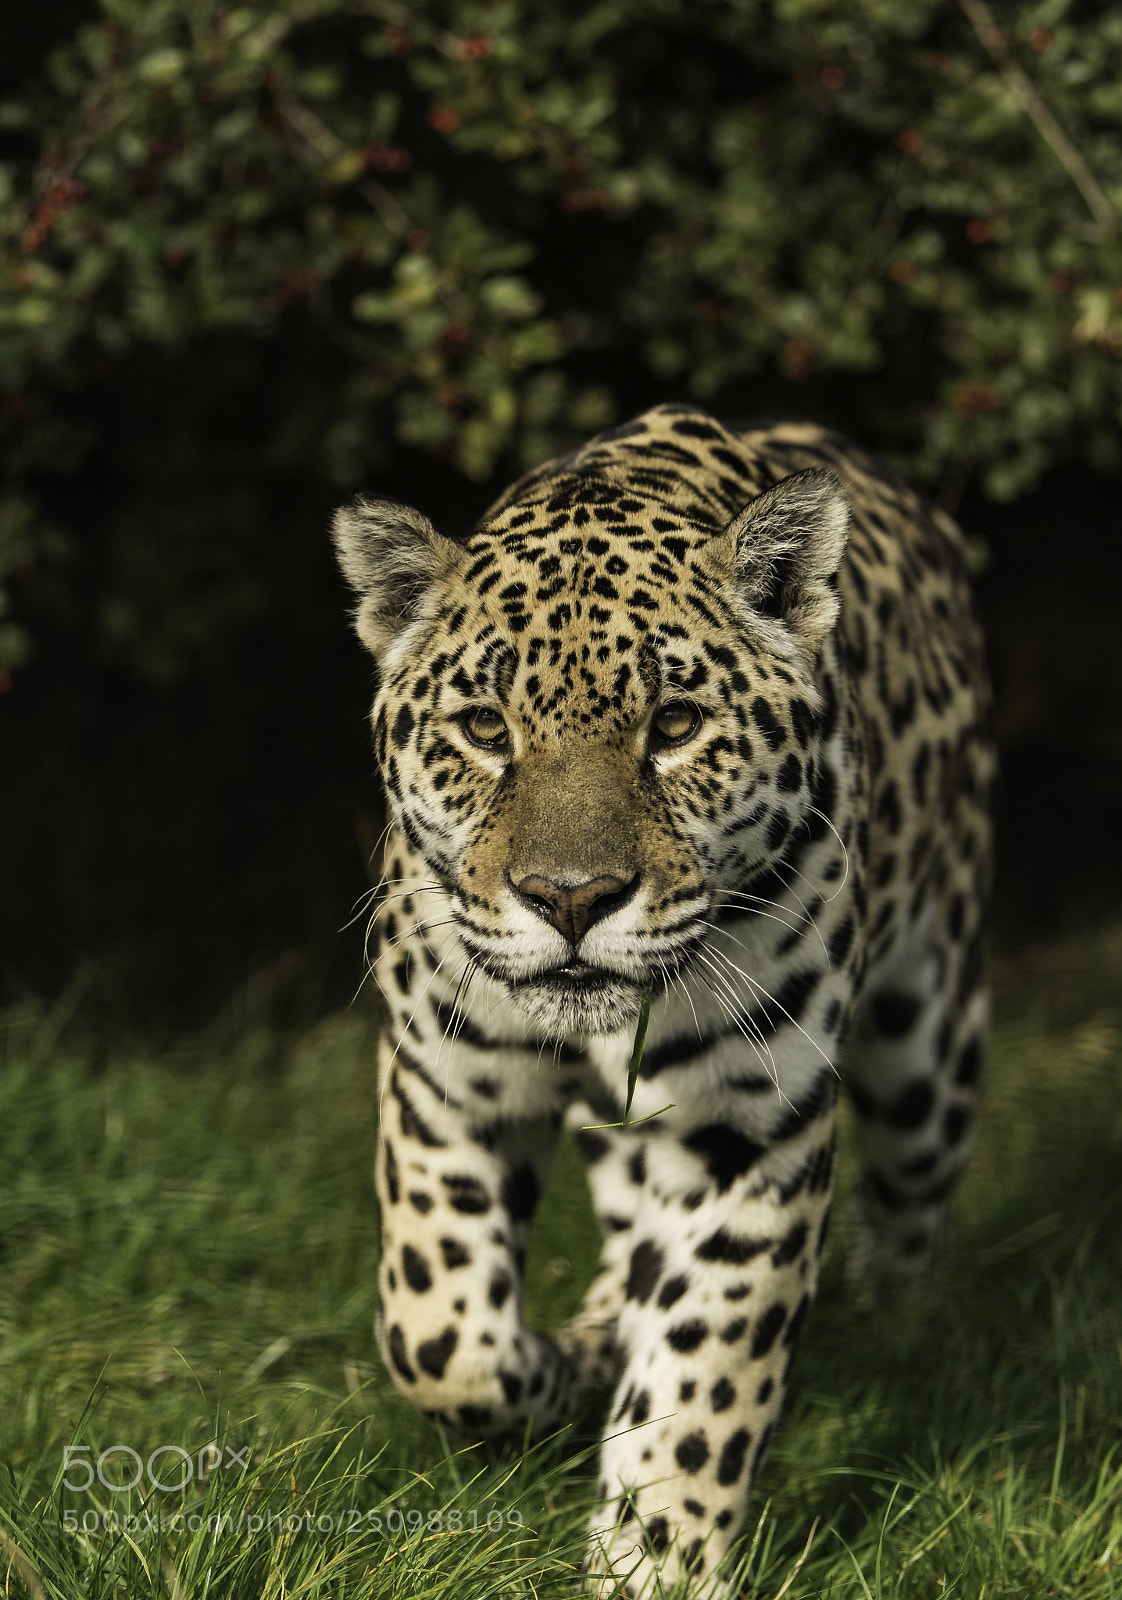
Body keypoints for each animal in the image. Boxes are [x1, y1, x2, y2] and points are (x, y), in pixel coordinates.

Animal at [331, 403, 995, 1597]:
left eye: (677, 723)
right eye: (485, 729)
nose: (571, 897)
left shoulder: (752, 1136)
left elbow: (705, 1382)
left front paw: (657, 1560)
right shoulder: (446, 1084)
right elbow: (439, 1333)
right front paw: (540, 1379)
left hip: (931, 1049)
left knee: (911, 1213)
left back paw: (904, 1327)